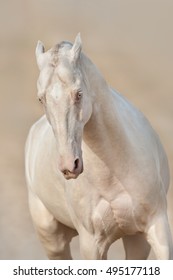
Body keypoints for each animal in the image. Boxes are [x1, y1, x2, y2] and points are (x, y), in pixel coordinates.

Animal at [24, 34, 173, 260]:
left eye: (78, 94)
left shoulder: (156, 229)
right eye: (41, 98)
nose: (70, 165)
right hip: (52, 239)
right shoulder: (92, 244)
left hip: (134, 239)